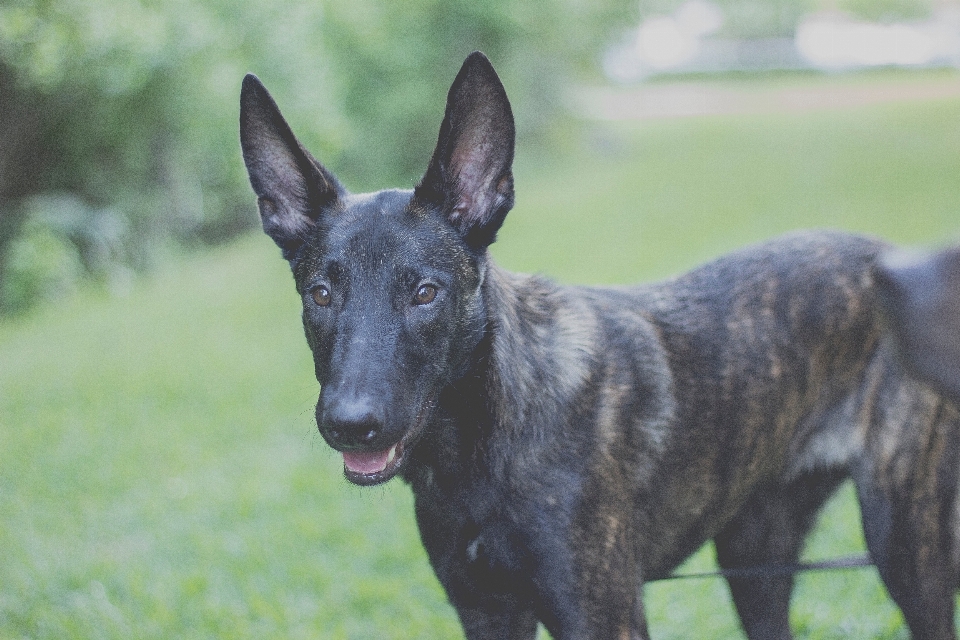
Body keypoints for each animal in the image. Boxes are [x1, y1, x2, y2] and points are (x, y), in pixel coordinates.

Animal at [242, 52, 960, 636]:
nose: (350, 423)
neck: (481, 444)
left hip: (905, 549)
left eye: (424, 292)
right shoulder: (488, 613)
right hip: (753, 555)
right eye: (321, 294)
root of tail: (888, 256)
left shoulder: (601, 616)